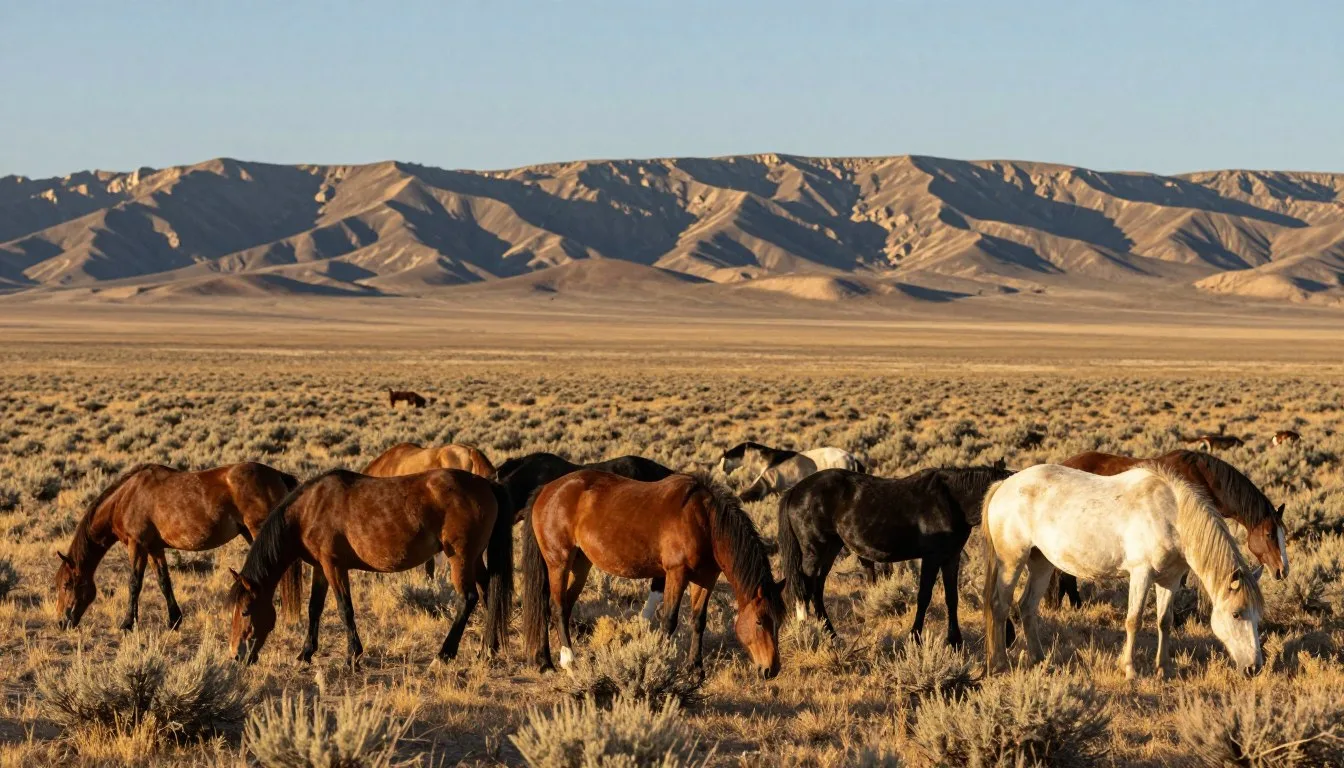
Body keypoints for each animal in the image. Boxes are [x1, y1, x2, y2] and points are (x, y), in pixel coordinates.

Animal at [54, 462, 303, 633]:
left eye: (66, 584)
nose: (61, 622)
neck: (125, 498)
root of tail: (278, 475)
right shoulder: (154, 548)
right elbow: (164, 581)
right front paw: (174, 620)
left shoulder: (137, 546)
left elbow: (134, 583)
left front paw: (127, 624)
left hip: (257, 531)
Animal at [227, 468, 512, 666]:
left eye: (245, 611)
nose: (237, 656)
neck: (308, 510)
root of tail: (486, 484)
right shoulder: (321, 568)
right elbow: (314, 609)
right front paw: (305, 653)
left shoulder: (334, 566)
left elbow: (345, 609)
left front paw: (352, 656)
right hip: (475, 559)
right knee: (488, 594)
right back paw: (487, 650)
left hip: (460, 558)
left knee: (468, 598)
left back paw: (444, 655)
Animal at [521, 471, 783, 677]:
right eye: (760, 621)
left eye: (778, 621)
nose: (771, 669)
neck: (705, 522)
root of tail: (547, 489)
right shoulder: (677, 574)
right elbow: (669, 620)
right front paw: (662, 661)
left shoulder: (705, 579)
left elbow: (698, 620)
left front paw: (696, 669)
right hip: (559, 563)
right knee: (555, 606)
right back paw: (569, 662)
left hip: (580, 565)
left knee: (560, 607)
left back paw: (546, 662)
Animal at [778, 463, 1012, 647]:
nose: (1009, 638)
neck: (952, 501)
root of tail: (796, 490)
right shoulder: (932, 557)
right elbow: (924, 596)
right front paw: (915, 638)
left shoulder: (951, 558)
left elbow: (951, 598)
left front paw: (955, 641)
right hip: (814, 551)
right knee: (805, 589)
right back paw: (807, 634)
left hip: (830, 549)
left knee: (816, 589)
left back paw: (832, 636)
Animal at [982, 464, 1264, 679]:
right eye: (1237, 614)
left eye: (1258, 615)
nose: (1254, 668)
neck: (1171, 515)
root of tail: (1003, 485)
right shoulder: (1141, 573)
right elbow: (1133, 620)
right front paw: (1129, 669)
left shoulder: (1170, 580)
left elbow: (1165, 621)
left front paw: (1164, 668)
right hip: (1011, 561)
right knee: (1000, 606)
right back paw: (999, 664)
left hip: (1041, 564)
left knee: (1027, 607)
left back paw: (1040, 660)